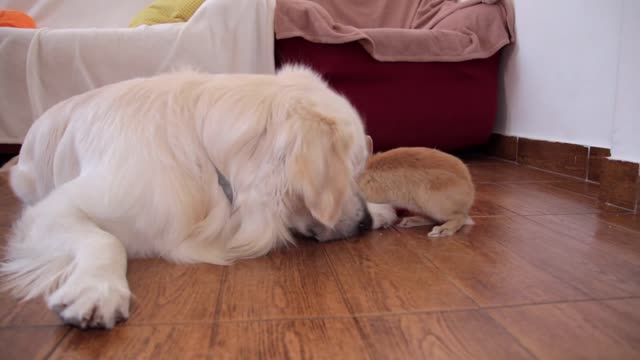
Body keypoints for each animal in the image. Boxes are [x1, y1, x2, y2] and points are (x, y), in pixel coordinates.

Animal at [0, 66, 398, 330]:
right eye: (349, 170)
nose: (364, 222)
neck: (203, 155)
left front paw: (381, 210)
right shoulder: (54, 208)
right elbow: (106, 239)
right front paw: (97, 290)